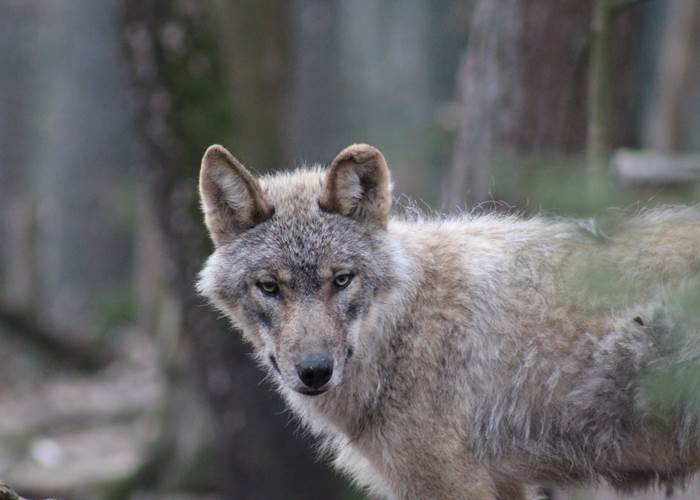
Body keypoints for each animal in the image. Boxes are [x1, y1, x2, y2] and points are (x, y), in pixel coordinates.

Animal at [196, 143, 700, 499]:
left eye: (341, 280)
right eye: (269, 287)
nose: (315, 371)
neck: (404, 330)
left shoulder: (453, 487)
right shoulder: (503, 485)